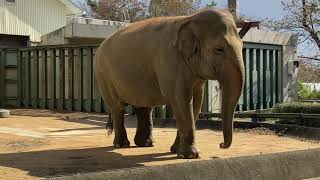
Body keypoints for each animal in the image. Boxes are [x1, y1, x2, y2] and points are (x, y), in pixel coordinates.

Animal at [94, 8, 245, 159]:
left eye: (242, 46)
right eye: (219, 49)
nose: (221, 144)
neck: (190, 19)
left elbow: (196, 101)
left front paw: (176, 151)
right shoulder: (169, 60)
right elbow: (180, 99)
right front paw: (190, 155)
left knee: (143, 107)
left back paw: (146, 144)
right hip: (103, 75)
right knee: (117, 107)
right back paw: (122, 145)